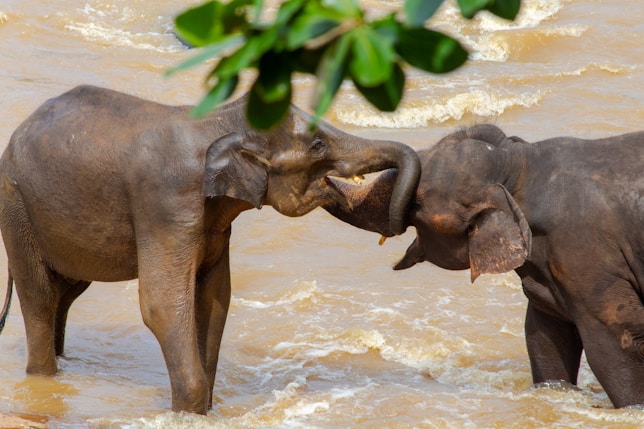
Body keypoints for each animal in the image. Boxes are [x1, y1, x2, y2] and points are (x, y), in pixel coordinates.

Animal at [0, 85, 421, 414]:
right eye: (317, 146)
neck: (221, 121)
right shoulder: (166, 205)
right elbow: (162, 303)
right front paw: (190, 410)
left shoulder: (217, 223)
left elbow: (216, 297)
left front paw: (205, 409)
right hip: (17, 209)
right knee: (39, 296)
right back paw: (44, 375)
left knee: (66, 293)